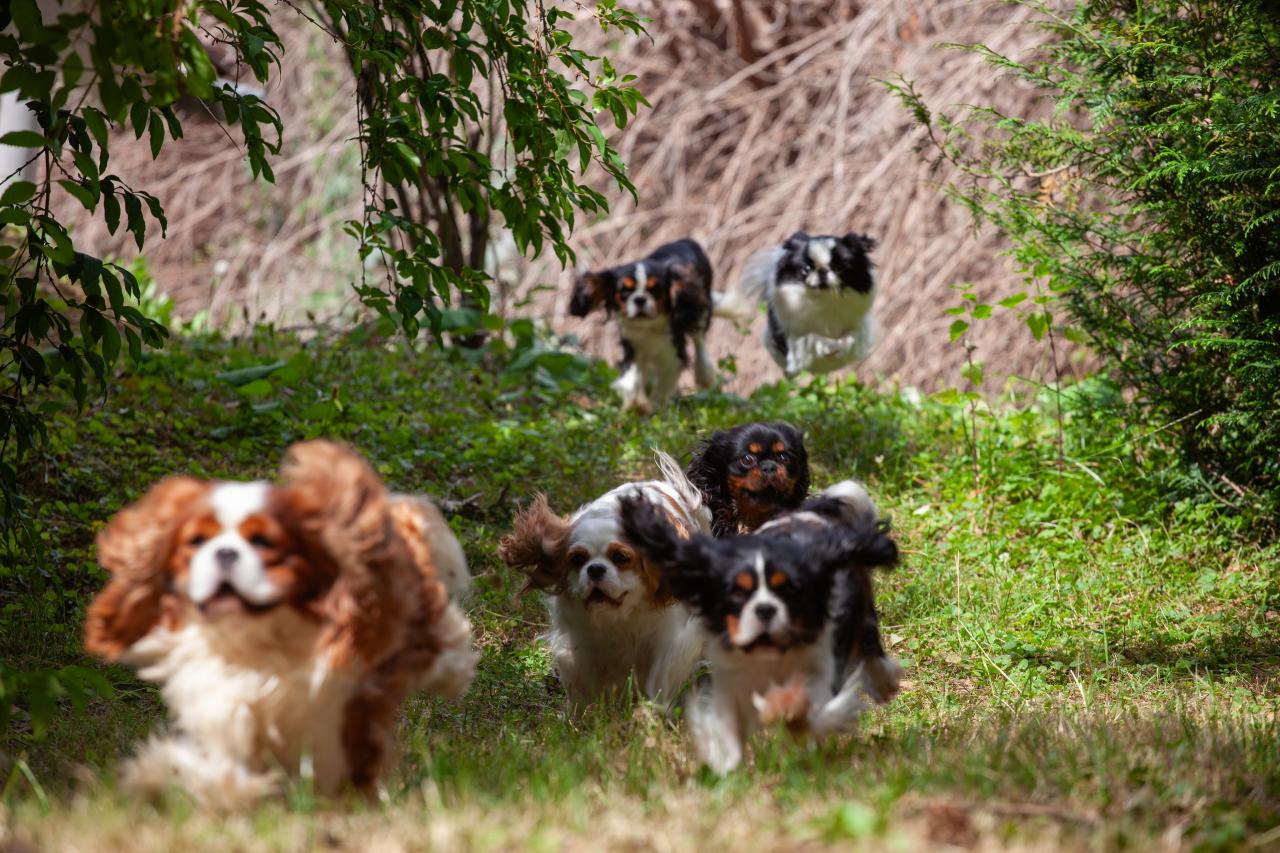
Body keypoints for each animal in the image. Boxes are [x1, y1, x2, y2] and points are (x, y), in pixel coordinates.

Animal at [496, 450, 711, 701]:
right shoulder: (582, 646)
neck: (616, 619)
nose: (595, 569)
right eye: (577, 559)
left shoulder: (665, 642)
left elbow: (660, 679)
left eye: (620, 557)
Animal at [570, 236, 721, 412]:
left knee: (698, 339)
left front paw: (654, 408)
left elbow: (664, 383)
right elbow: (632, 378)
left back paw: (704, 375)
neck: (647, 326)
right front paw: (636, 405)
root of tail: (686, 240)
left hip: (699, 311)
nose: (640, 299)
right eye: (624, 291)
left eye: (655, 290)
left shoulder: (672, 352)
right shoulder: (632, 347)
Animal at [737, 229, 885, 376]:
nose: (822, 271)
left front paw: (840, 345)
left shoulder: (860, 326)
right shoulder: (795, 337)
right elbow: (811, 338)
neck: (824, 301)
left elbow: (852, 336)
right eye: (806, 269)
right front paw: (826, 346)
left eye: (839, 268)